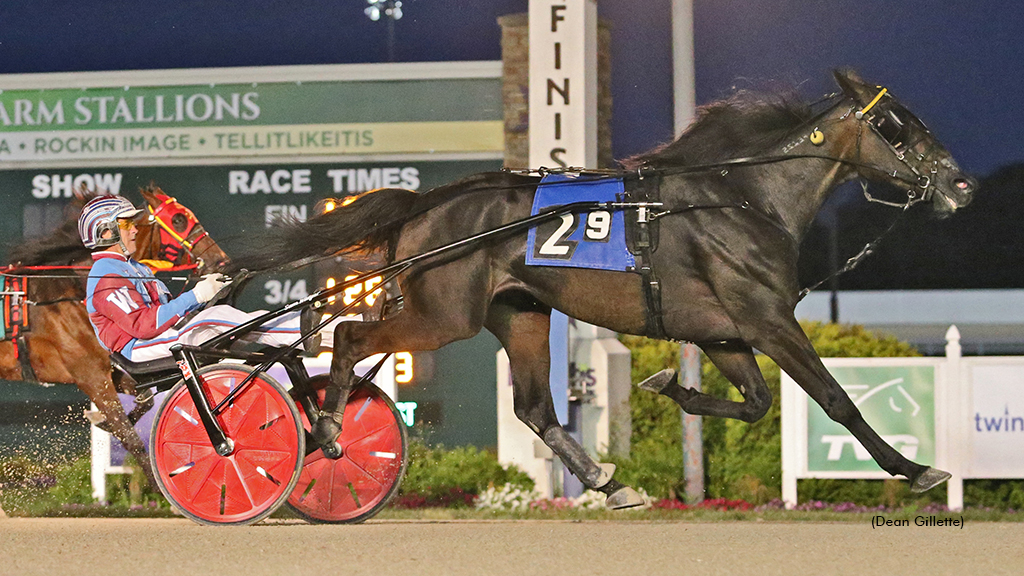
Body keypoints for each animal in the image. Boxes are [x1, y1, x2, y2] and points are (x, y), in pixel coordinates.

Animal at [0, 187, 226, 483]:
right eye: (178, 220)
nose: (220, 259)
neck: (74, 291)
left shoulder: (111, 370)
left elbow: (143, 399)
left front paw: (111, 420)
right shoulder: (92, 378)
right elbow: (130, 437)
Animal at [232, 69, 974, 504]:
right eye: (894, 125)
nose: (961, 185)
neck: (742, 197)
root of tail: (430, 203)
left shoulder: (725, 330)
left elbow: (757, 402)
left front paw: (670, 386)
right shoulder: (767, 319)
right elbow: (835, 398)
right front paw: (916, 470)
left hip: (521, 314)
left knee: (535, 407)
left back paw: (607, 482)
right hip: (444, 313)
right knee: (352, 337)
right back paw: (328, 427)